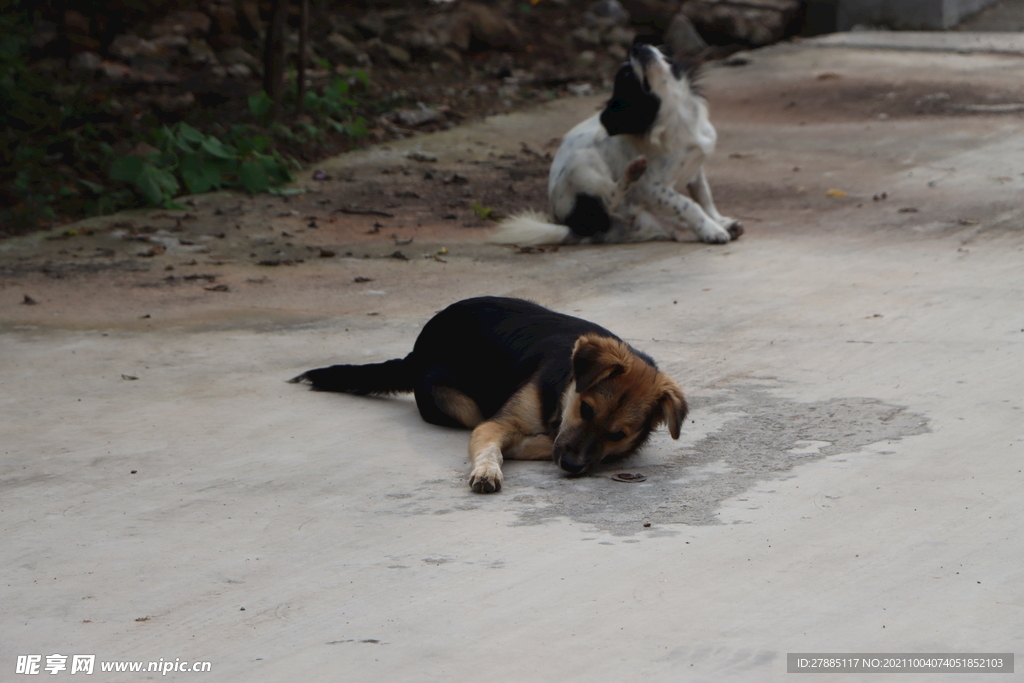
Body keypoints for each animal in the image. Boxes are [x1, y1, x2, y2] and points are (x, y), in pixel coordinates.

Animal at [290, 294, 688, 491]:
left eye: (618, 433)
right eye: (586, 409)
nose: (572, 467)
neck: (561, 397)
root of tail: (415, 351)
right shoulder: (497, 423)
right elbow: (496, 445)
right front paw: (489, 468)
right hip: (453, 400)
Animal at [491, 43, 741, 245]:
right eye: (628, 74)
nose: (636, 46)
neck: (675, 115)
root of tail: (574, 226)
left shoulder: (695, 169)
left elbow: (704, 196)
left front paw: (718, 221)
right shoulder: (653, 189)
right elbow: (689, 204)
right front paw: (712, 229)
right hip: (582, 161)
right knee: (610, 198)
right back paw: (632, 173)